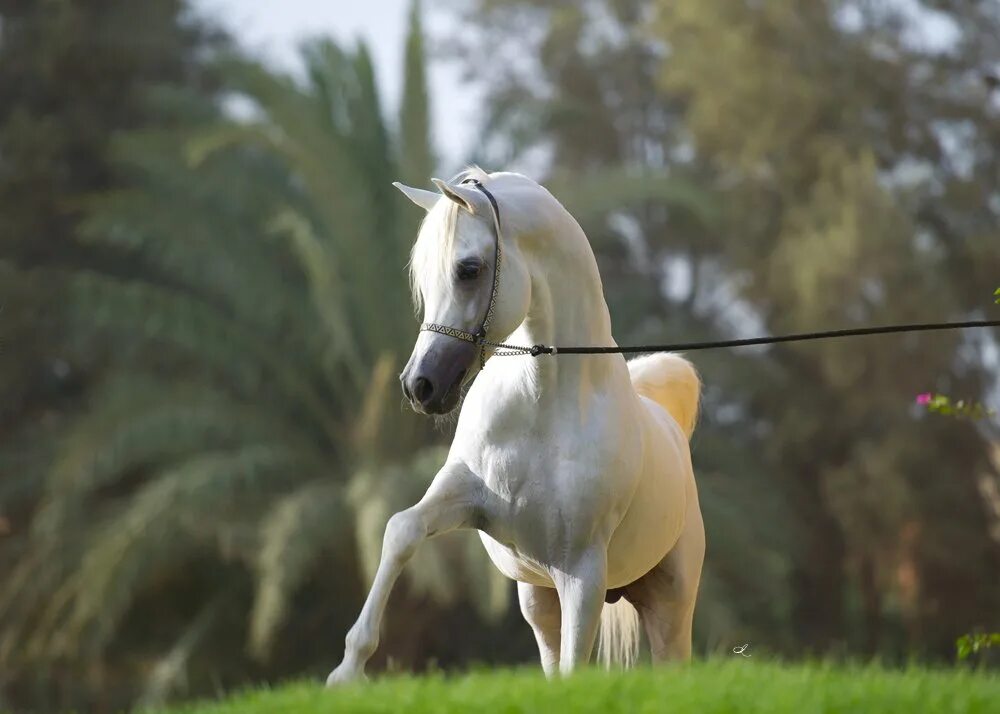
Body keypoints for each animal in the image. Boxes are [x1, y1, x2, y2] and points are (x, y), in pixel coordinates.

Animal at [328, 165, 704, 680]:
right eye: (424, 279)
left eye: (469, 269)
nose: (419, 385)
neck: (539, 408)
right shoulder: (467, 499)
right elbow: (401, 529)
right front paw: (347, 671)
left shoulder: (581, 571)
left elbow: (575, 666)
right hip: (537, 601)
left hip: (669, 607)